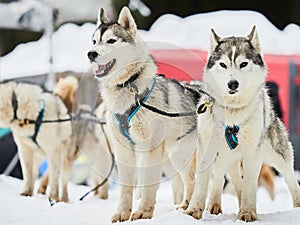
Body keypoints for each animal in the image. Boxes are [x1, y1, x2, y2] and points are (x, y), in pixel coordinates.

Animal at [88, 6, 198, 221]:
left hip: (182, 156)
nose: (91, 54)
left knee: (192, 180)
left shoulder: (149, 148)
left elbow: (148, 185)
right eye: (94, 41)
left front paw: (143, 212)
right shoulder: (124, 151)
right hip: (172, 158)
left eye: (111, 41)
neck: (128, 85)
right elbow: (126, 188)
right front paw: (122, 213)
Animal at [185, 26, 300, 221]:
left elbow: (249, 186)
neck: (232, 114)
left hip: (278, 156)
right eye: (223, 65)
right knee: (224, 179)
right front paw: (194, 211)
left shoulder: (253, 154)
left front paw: (247, 212)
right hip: (226, 159)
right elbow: (201, 184)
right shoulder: (205, 151)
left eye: (243, 64)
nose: (232, 84)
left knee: (291, 180)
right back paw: (214, 205)